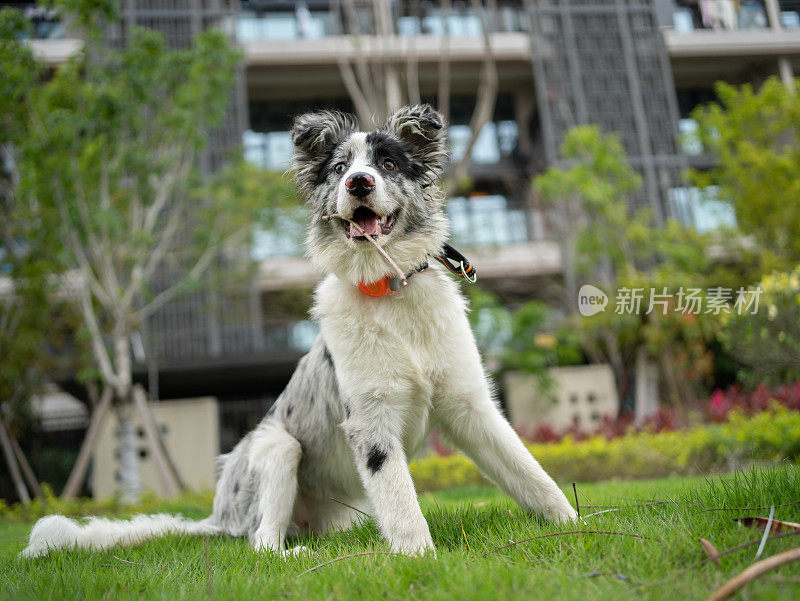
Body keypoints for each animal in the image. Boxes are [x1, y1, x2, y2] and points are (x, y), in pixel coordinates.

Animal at [21, 103, 580, 556]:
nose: (358, 183)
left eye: (388, 165)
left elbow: (529, 473)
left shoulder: (470, 407)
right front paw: (420, 558)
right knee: (262, 543)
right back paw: (292, 555)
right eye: (339, 169)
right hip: (275, 448)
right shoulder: (371, 423)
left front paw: (574, 525)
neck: (390, 292)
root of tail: (216, 519)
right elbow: (401, 501)